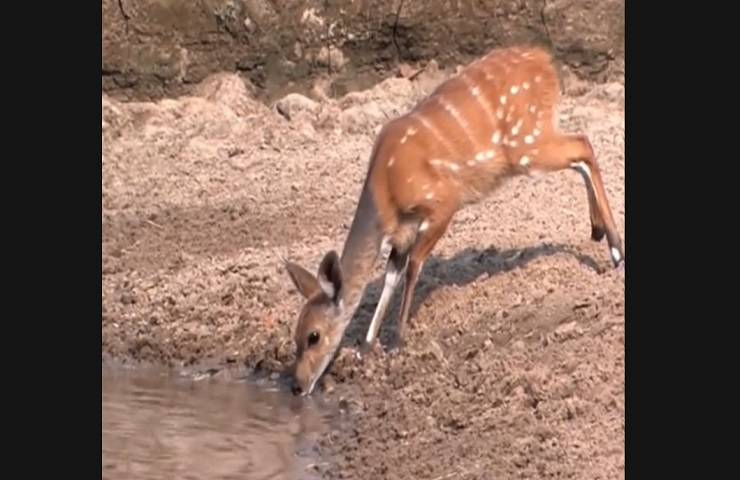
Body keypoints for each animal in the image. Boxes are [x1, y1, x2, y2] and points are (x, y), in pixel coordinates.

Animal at [284, 46, 624, 398]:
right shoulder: (402, 234)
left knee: (582, 143)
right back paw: (597, 230)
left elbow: (414, 266)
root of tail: (543, 59)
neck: (386, 191)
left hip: (526, 146)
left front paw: (397, 340)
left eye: (313, 336)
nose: (297, 386)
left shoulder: (443, 203)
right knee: (580, 152)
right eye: (295, 336)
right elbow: (392, 275)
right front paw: (366, 347)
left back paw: (615, 251)